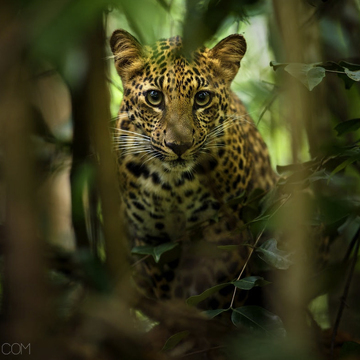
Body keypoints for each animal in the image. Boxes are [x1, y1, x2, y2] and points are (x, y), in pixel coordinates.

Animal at [109, 29, 276, 310]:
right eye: (154, 97)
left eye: (202, 98)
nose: (179, 145)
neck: (173, 185)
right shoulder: (154, 242)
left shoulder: (225, 236)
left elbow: (217, 293)